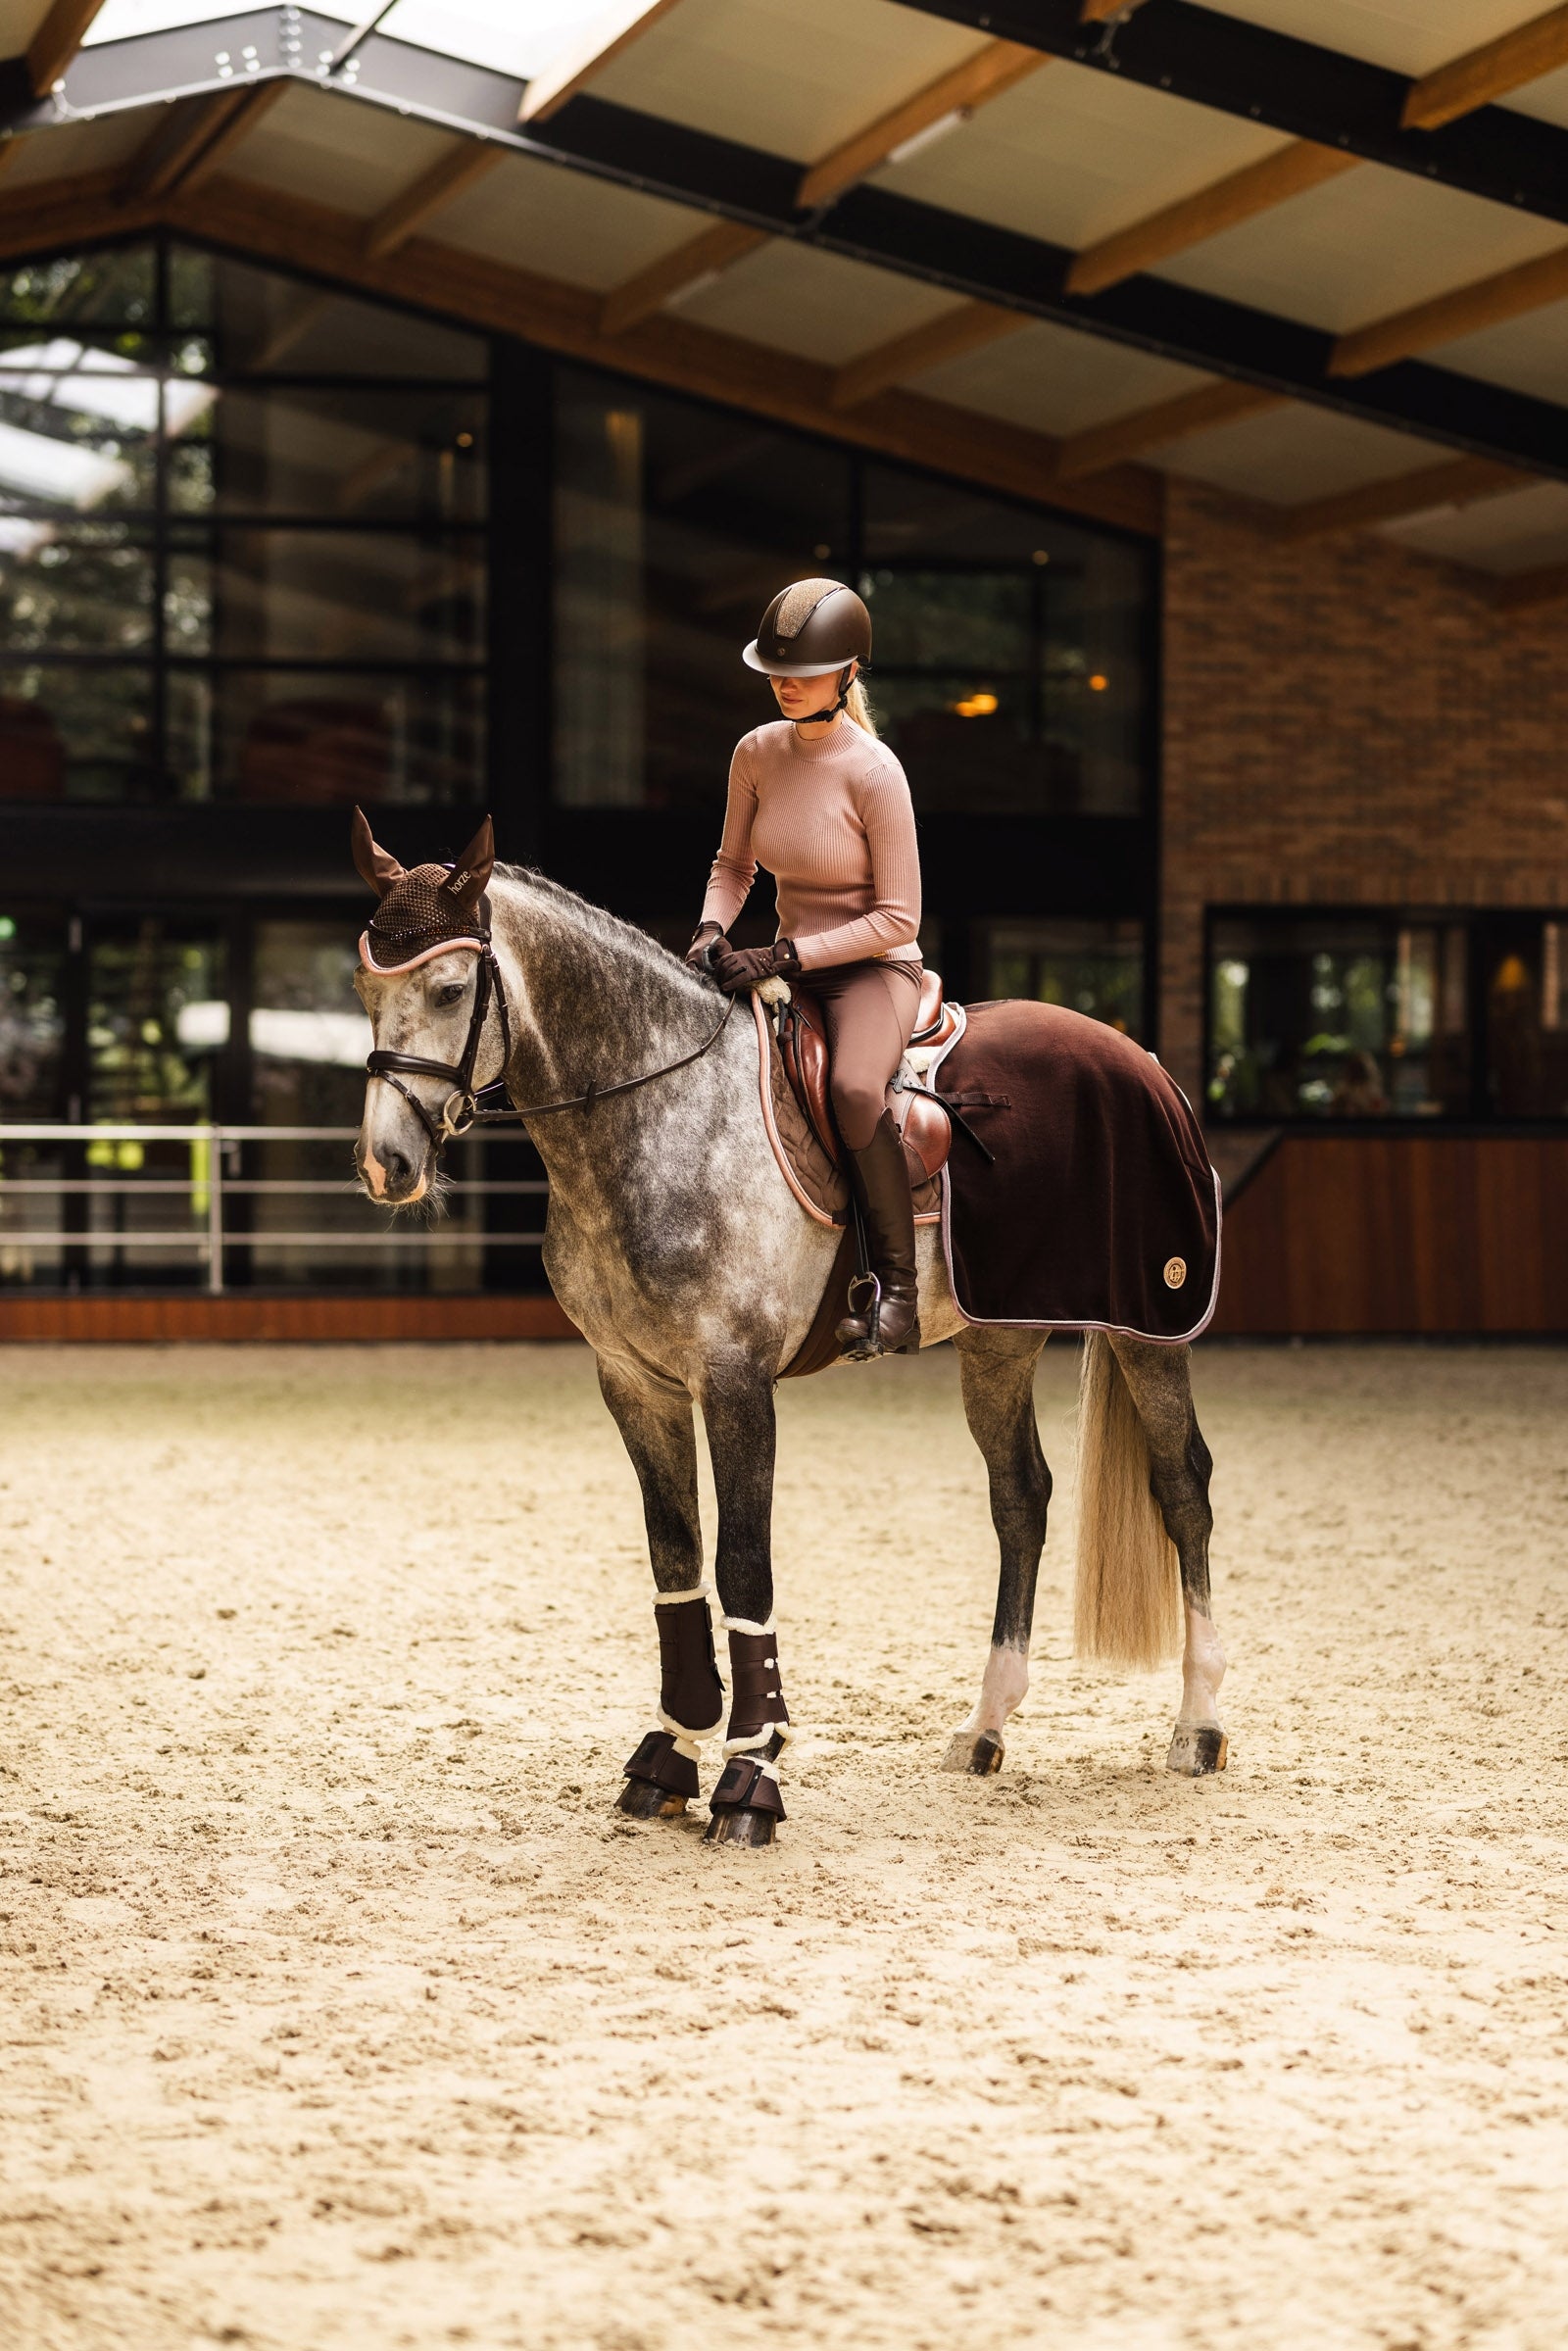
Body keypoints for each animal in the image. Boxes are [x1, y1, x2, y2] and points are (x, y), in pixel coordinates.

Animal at [350, 819, 1227, 1848]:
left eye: (450, 990)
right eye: (366, 987)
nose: (386, 1163)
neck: (661, 1114)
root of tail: (1143, 1062)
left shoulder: (734, 1382)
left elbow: (743, 1565)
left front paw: (749, 1773)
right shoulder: (635, 1383)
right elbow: (676, 1557)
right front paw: (670, 1752)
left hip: (1149, 1328)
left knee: (1182, 1486)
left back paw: (1199, 1722)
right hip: (996, 1339)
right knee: (1022, 1498)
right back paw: (985, 1724)